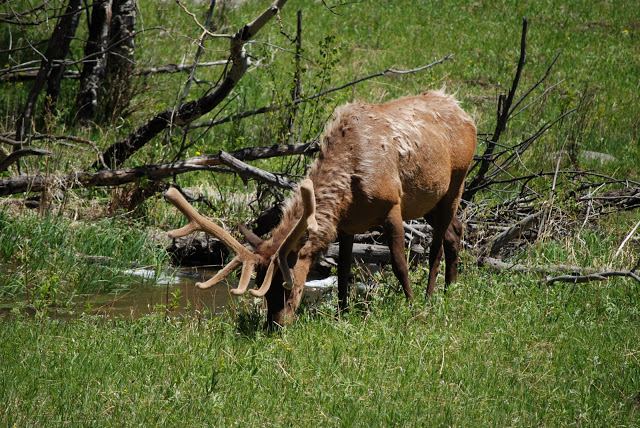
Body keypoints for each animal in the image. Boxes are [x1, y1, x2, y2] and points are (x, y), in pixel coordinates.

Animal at [165, 90, 477, 327]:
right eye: (262, 286)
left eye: (287, 284)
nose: (275, 324)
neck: (348, 188)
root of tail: (464, 111)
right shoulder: (347, 224)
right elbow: (343, 275)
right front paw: (343, 313)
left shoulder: (392, 205)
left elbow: (399, 264)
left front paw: (411, 306)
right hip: (430, 201)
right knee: (456, 230)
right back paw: (451, 289)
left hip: (456, 181)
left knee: (437, 246)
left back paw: (430, 295)